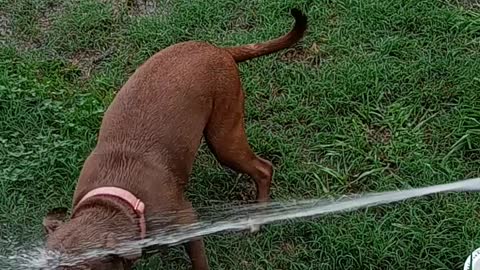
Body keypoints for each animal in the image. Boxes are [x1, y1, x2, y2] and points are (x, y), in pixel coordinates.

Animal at [44, 8, 308, 270]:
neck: (114, 202)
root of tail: (217, 49)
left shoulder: (186, 222)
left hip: (224, 138)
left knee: (263, 168)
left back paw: (258, 219)